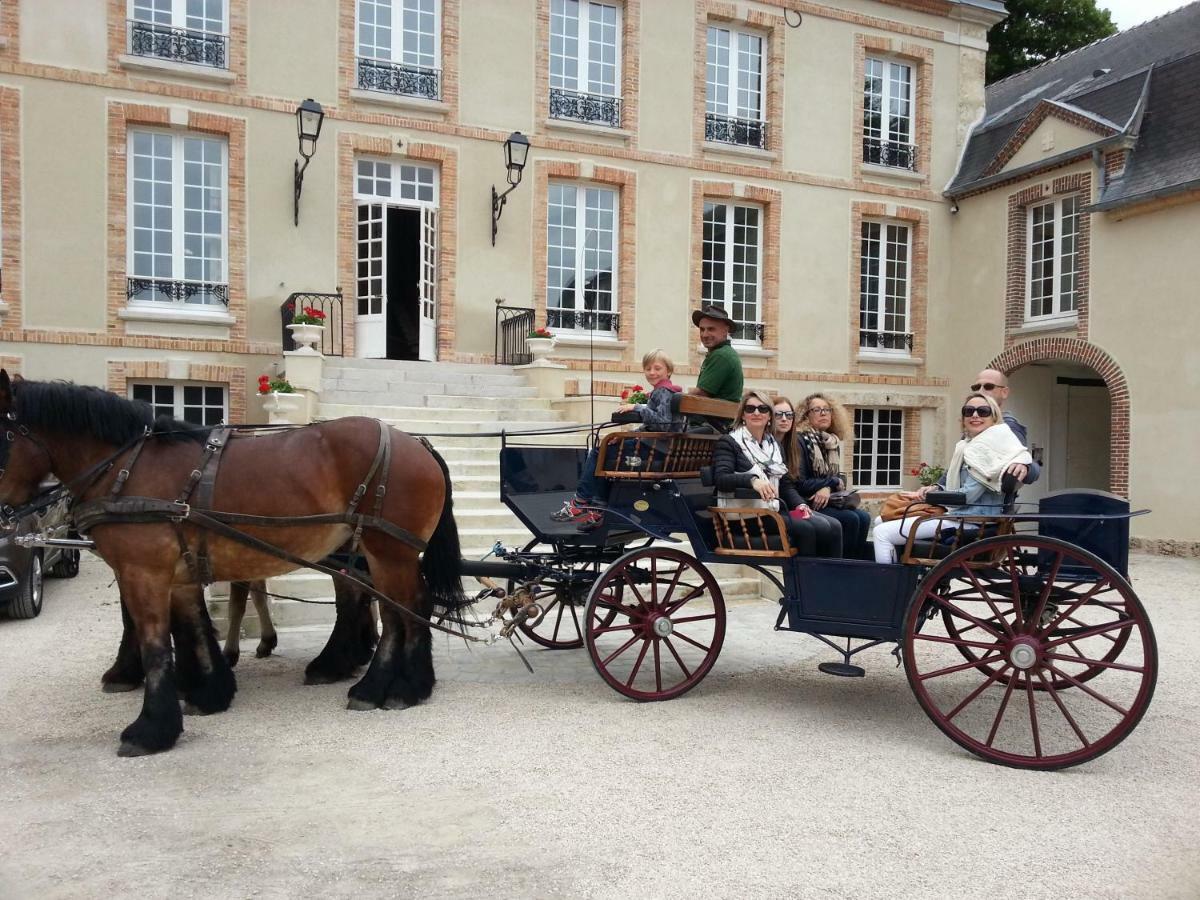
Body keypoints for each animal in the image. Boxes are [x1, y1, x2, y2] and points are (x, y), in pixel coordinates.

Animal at [0, 374, 463, 763]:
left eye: (1, 434)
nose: (6, 515)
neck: (128, 467)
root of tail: (416, 443)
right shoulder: (177, 573)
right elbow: (192, 629)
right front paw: (208, 691)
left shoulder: (142, 571)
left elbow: (153, 642)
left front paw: (150, 726)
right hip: (372, 553)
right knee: (390, 610)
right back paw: (373, 677)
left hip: (388, 552)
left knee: (405, 611)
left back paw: (394, 686)